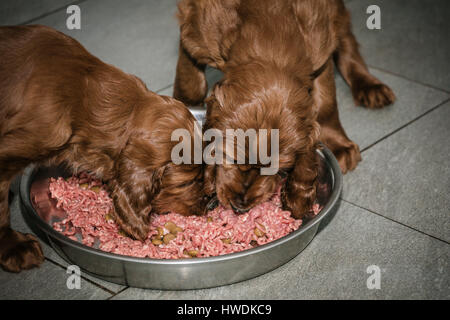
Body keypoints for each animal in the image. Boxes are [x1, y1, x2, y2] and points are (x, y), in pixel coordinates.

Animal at [174, 0, 396, 218]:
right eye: (231, 158)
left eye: (280, 170)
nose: (240, 207)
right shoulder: (194, 30)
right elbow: (190, 78)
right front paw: (184, 109)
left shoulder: (320, 49)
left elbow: (326, 99)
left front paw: (337, 143)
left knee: (345, 34)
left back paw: (370, 86)